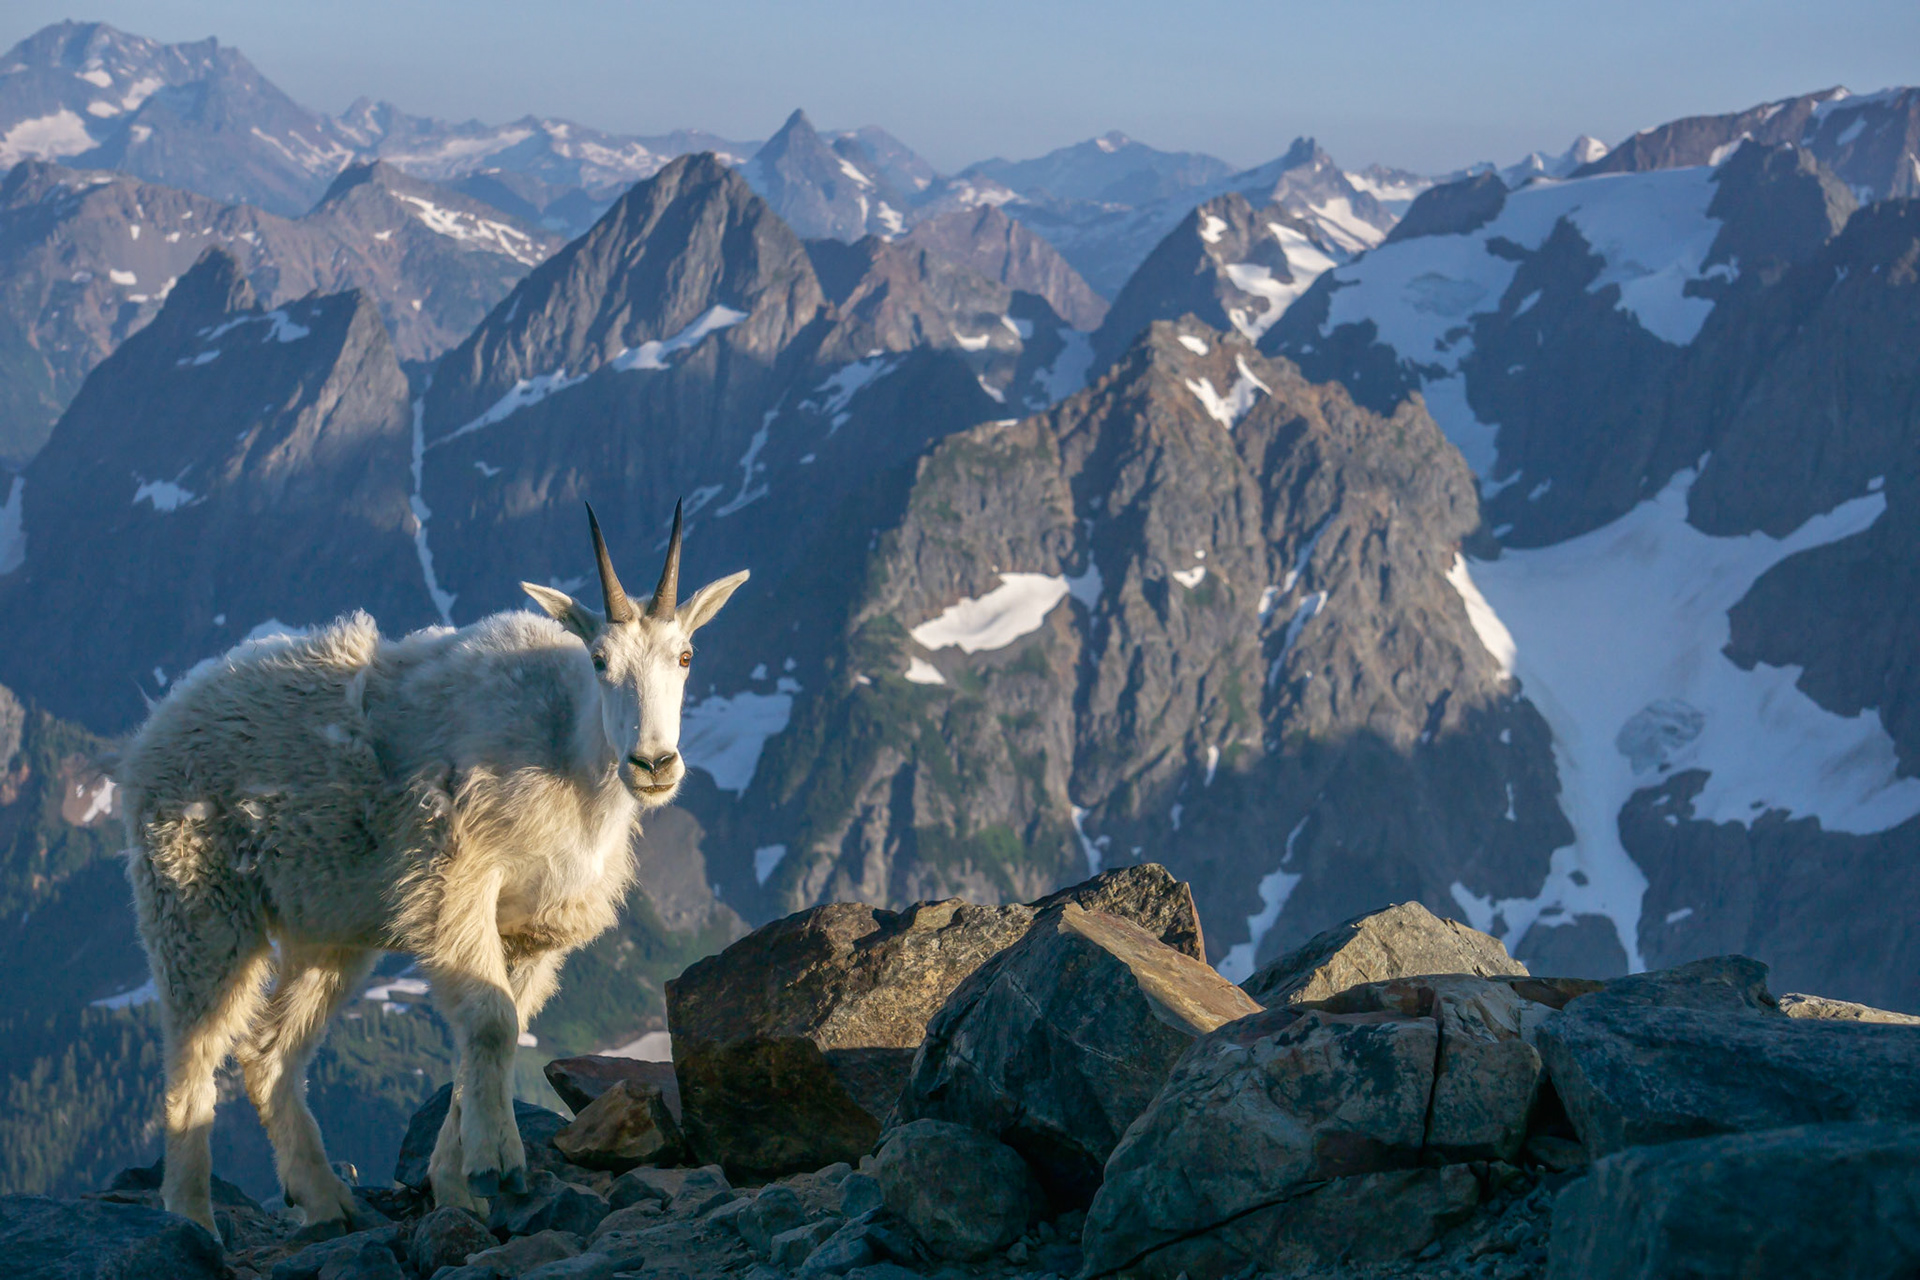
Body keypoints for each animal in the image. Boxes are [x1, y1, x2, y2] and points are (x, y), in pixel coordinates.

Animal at [118, 503, 746, 1231]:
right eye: (599, 660)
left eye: (686, 655)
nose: (654, 764)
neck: (569, 750)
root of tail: (151, 733)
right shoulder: (455, 880)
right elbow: (491, 1022)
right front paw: (498, 1164)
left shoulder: (531, 927)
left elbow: (494, 1033)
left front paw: (460, 1182)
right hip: (197, 901)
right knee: (191, 1049)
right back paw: (192, 1218)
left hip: (328, 928)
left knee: (268, 1051)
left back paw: (328, 1201)